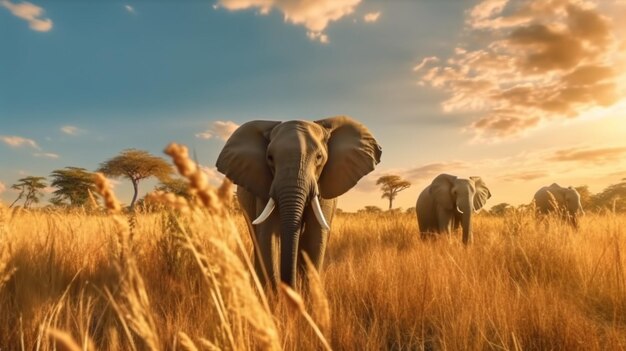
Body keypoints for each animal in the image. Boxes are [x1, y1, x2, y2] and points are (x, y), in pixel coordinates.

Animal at [214, 115, 380, 288]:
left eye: (319, 157)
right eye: (270, 158)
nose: (290, 285)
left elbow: (315, 237)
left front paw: (305, 294)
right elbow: (268, 237)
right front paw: (278, 295)